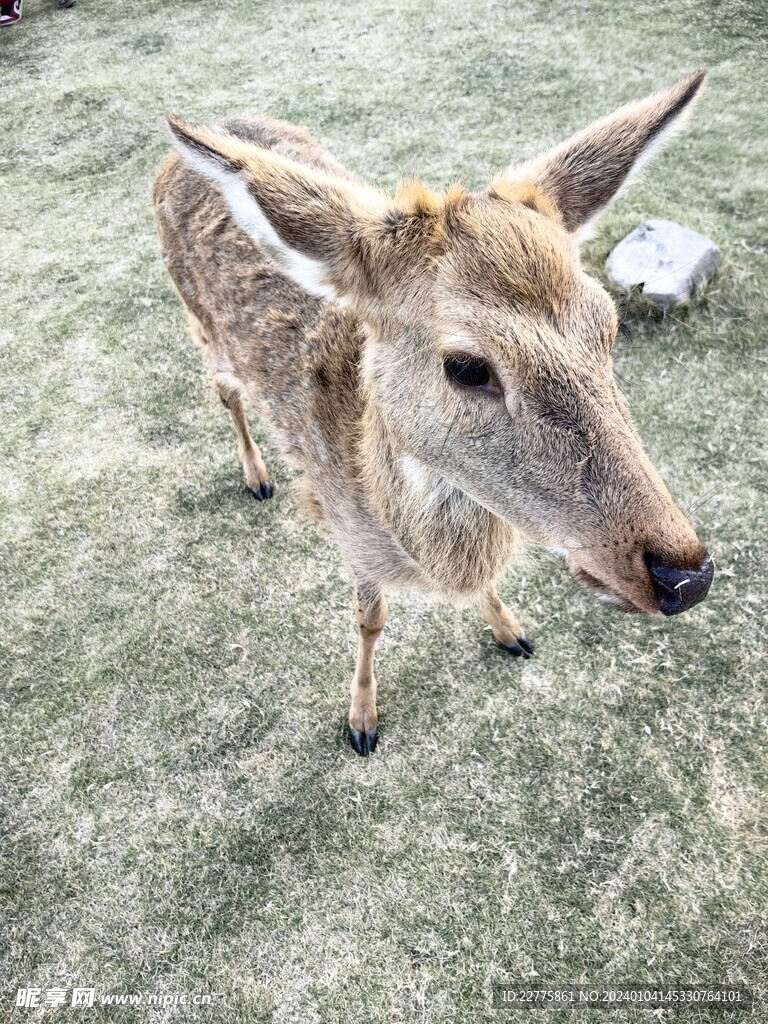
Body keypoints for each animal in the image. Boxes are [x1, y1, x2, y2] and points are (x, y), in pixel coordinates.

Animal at [154, 72, 716, 757]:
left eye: (608, 325)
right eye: (467, 367)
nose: (686, 576)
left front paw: (511, 630)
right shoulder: (350, 537)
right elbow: (369, 620)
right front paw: (361, 720)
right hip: (198, 323)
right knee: (226, 391)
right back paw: (257, 476)